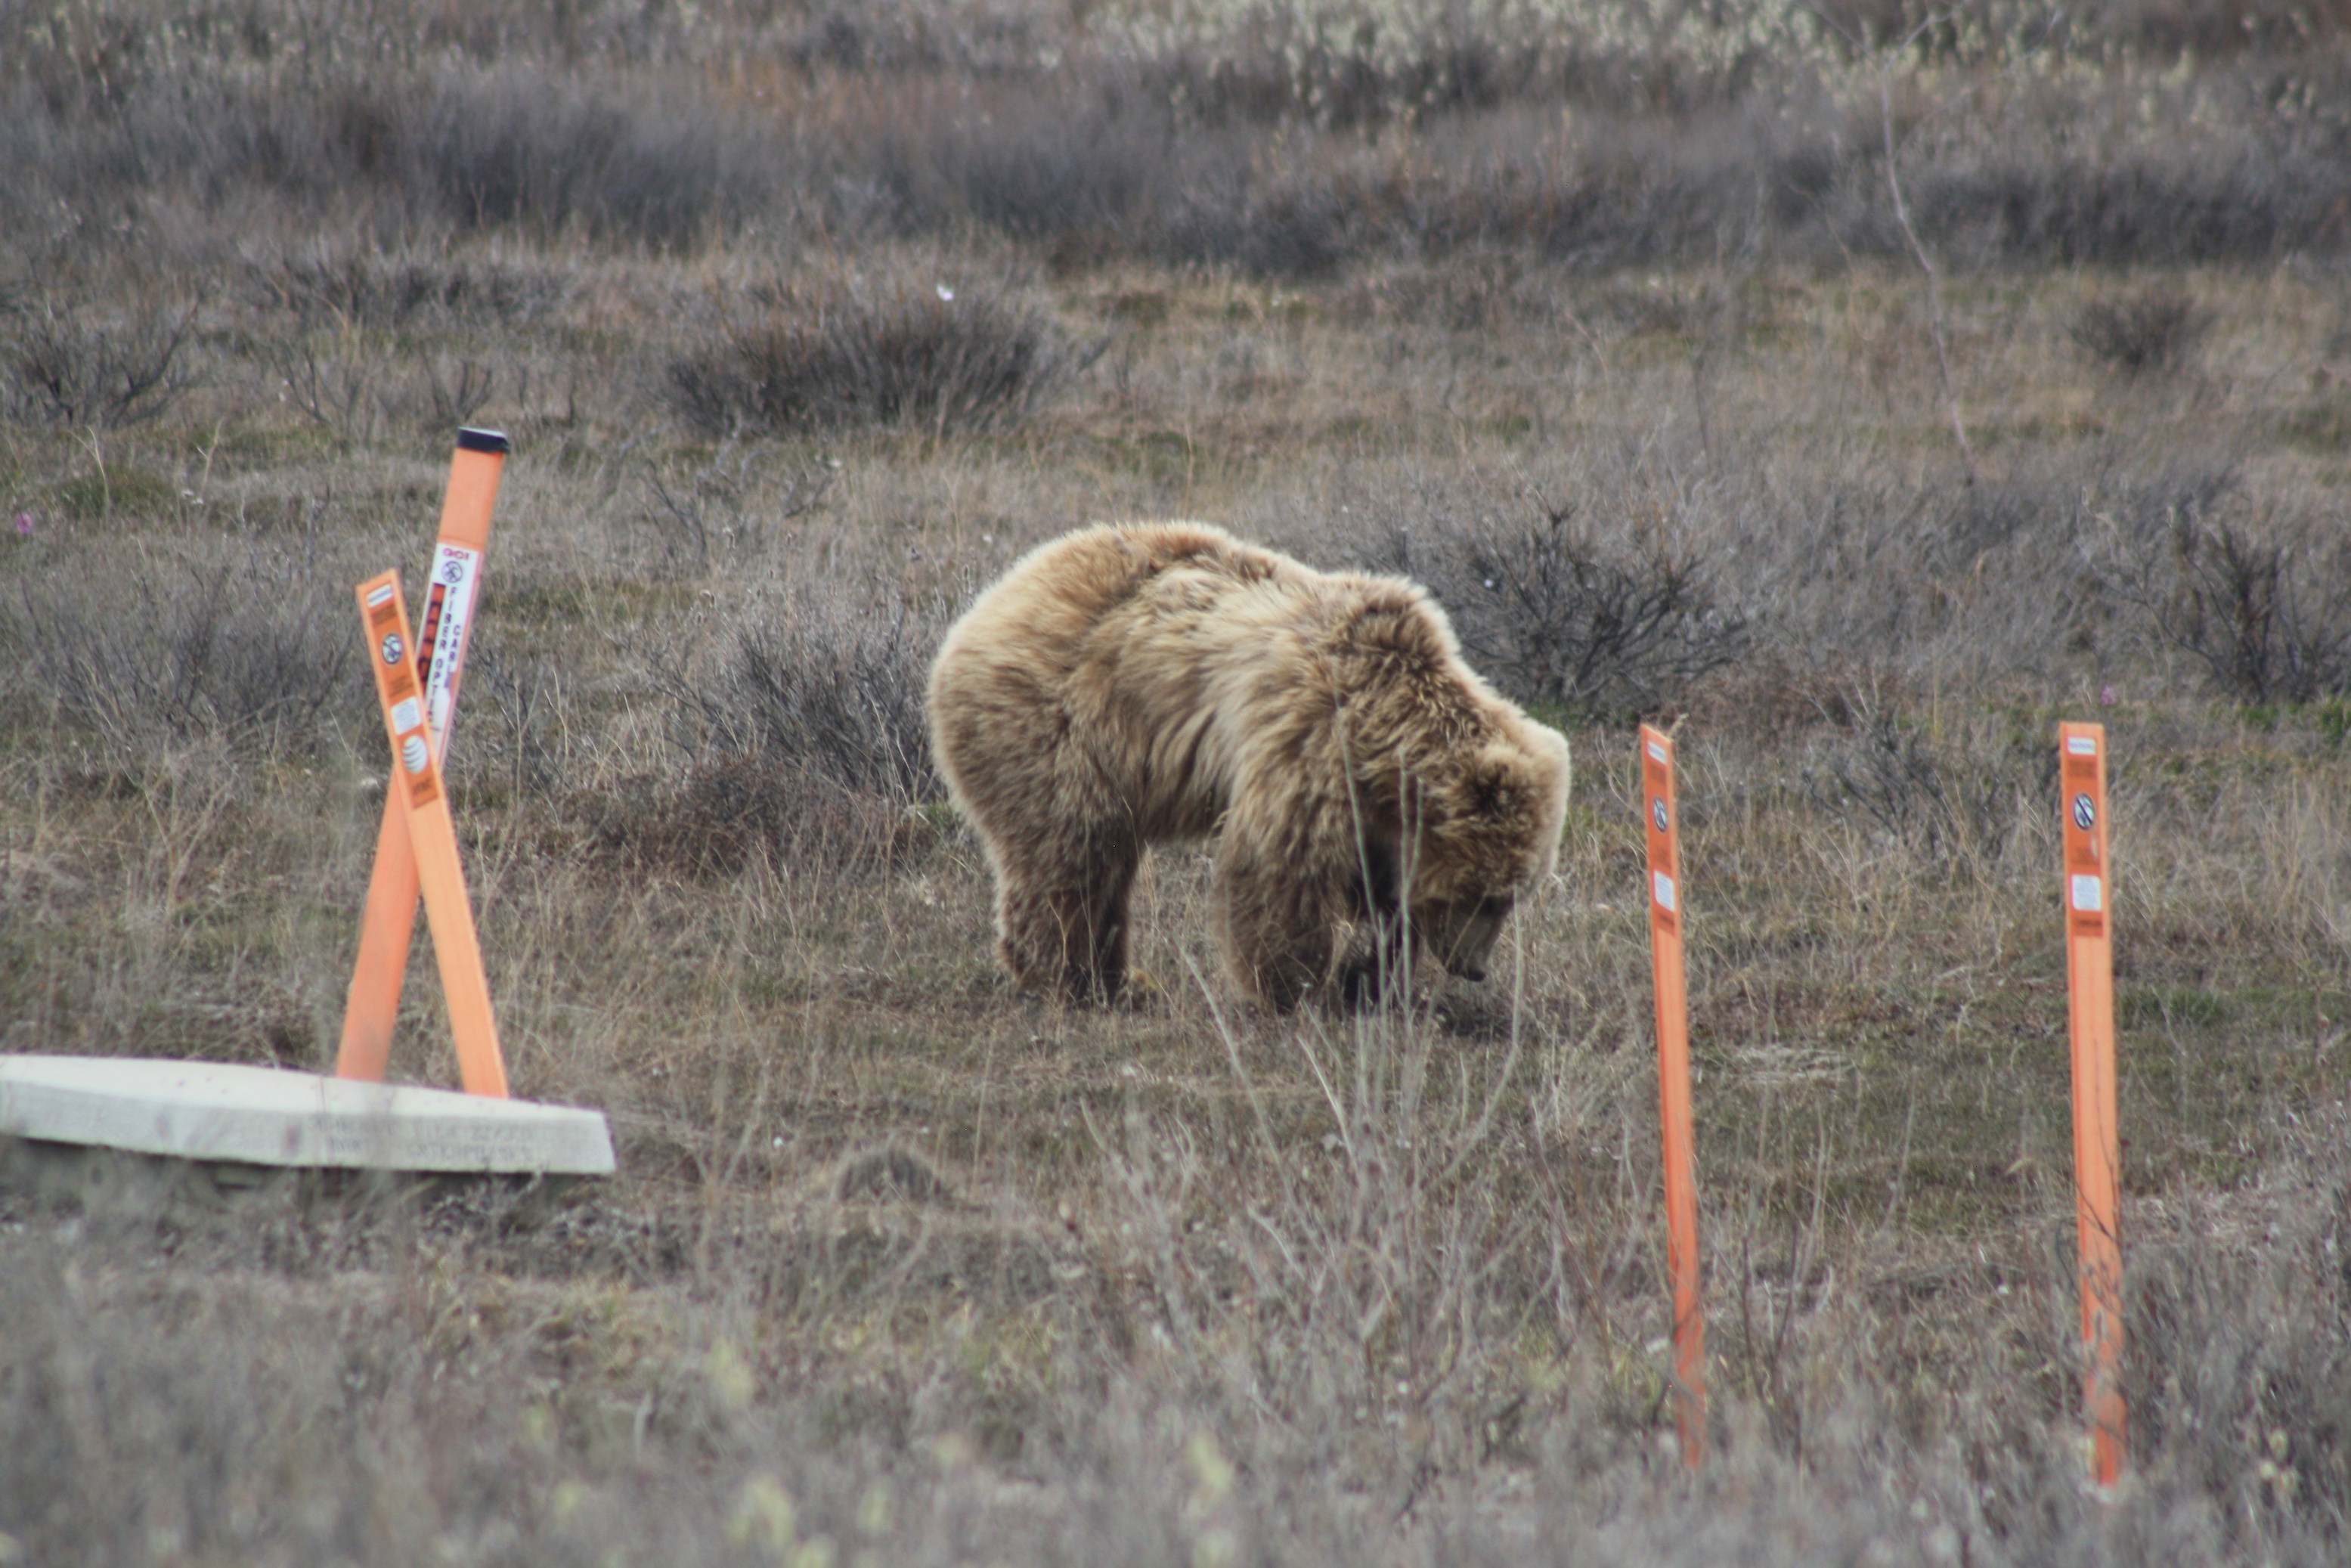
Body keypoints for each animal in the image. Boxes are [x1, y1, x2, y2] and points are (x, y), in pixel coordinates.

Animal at [925, 523, 1571, 1010]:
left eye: (1512, 896)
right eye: (1486, 895)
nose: (1474, 968)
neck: (1382, 731)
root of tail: (992, 598)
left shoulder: (1374, 807)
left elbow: (1382, 891)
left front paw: (1370, 976)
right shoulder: (1307, 737)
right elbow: (1280, 865)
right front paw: (1297, 987)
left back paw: (1117, 978)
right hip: (1054, 724)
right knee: (1071, 849)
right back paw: (1067, 975)